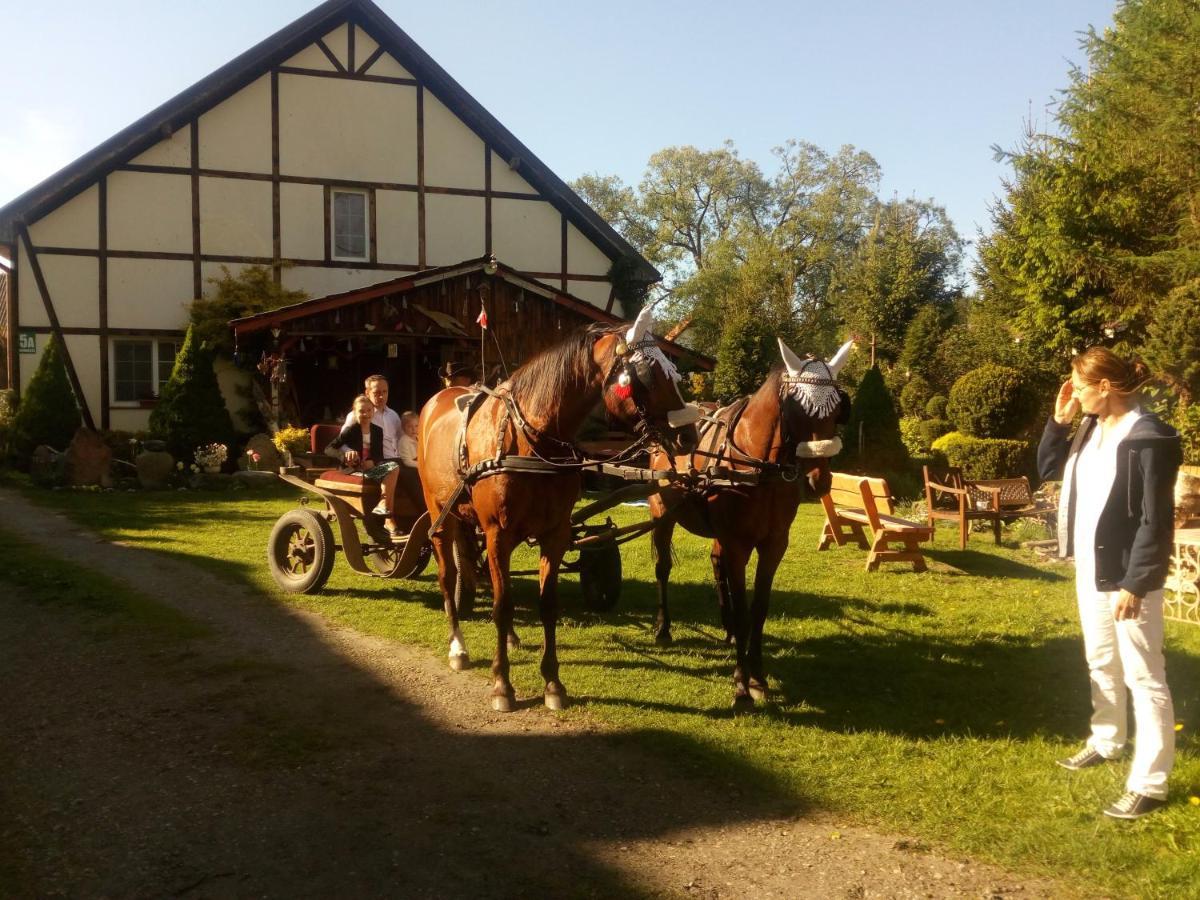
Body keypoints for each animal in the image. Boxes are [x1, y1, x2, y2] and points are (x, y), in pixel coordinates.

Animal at [422, 309, 700, 710]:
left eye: (674, 372)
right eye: (648, 374)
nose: (689, 437)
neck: (531, 440)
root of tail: (440, 397)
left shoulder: (553, 533)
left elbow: (546, 604)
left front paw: (552, 682)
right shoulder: (497, 533)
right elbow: (503, 605)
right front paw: (502, 684)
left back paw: (510, 639)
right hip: (441, 518)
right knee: (449, 577)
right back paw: (458, 647)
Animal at [648, 338, 854, 710]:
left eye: (837, 409)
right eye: (796, 410)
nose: (819, 481)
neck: (761, 469)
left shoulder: (773, 544)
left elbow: (758, 609)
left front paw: (757, 676)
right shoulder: (738, 544)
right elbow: (745, 609)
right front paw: (742, 684)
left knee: (716, 563)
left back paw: (728, 630)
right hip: (661, 513)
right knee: (663, 568)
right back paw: (663, 627)